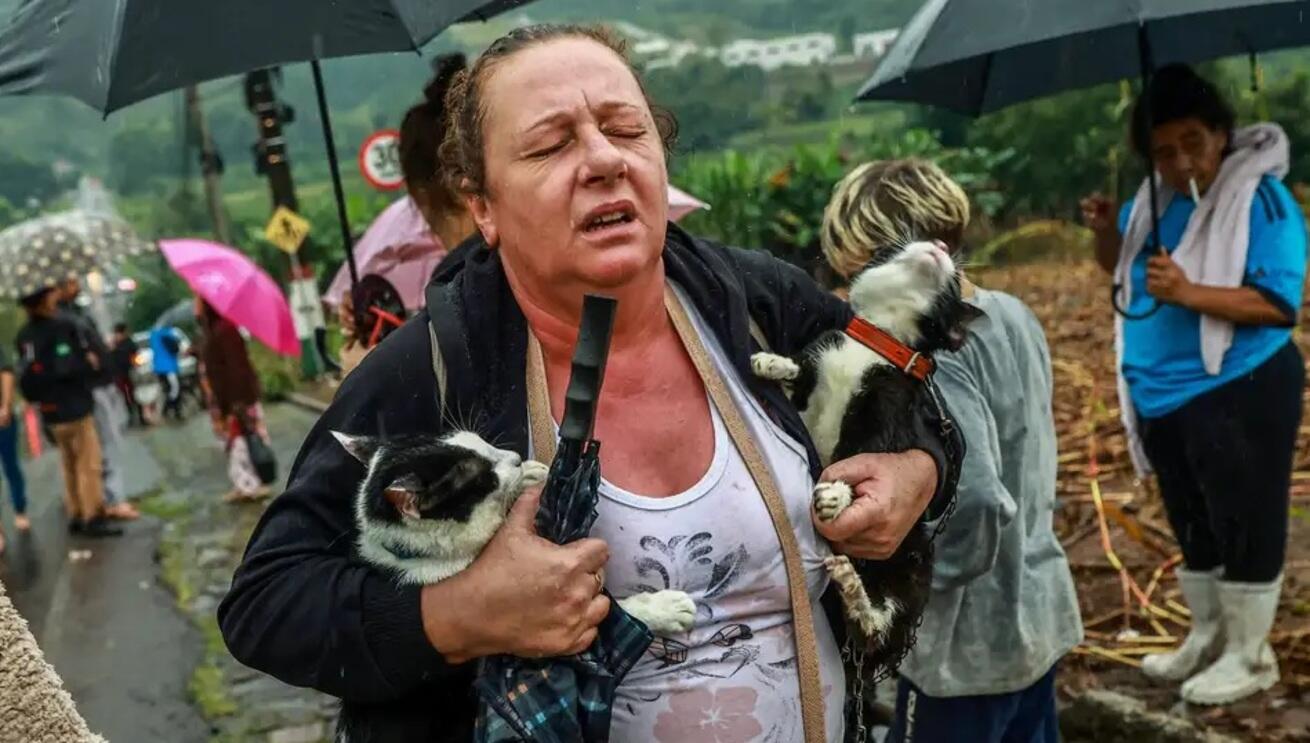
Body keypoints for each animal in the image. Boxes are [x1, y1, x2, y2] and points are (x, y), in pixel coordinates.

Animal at [749, 241, 974, 676]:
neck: (879, 339)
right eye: (906, 243)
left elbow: (864, 454)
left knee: (876, 628)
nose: (940, 245)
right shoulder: (816, 370)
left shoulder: (887, 408)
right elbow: (798, 377)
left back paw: (855, 591)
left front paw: (837, 493)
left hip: (914, 564)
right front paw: (772, 363)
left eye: (954, 283)